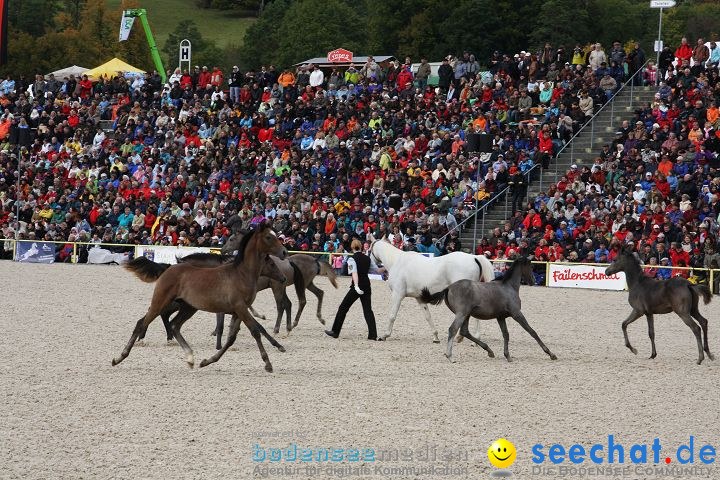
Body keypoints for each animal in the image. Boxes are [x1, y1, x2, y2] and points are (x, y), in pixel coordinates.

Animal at [111, 223, 288, 374]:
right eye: (269, 237)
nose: (285, 252)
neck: (241, 274)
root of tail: (168, 268)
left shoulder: (238, 311)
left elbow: (231, 338)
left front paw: (207, 361)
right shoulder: (240, 308)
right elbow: (255, 331)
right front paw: (268, 363)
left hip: (188, 307)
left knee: (174, 325)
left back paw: (190, 358)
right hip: (161, 302)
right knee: (142, 322)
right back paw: (119, 357)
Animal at [416, 256, 556, 362]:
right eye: (530, 267)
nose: (533, 281)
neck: (508, 287)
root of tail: (449, 287)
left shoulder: (500, 317)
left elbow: (506, 334)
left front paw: (507, 356)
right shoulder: (517, 314)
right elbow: (532, 332)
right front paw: (551, 354)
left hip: (466, 315)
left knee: (464, 331)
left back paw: (489, 351)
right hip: (462, 314)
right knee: (453, 329)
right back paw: (450, 356)